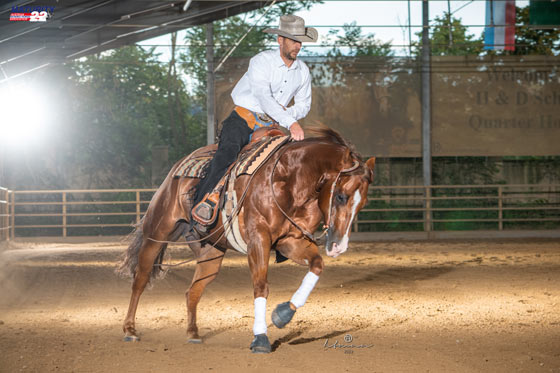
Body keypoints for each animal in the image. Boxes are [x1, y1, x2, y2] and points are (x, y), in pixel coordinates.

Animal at [117, 126, 376, 354]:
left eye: (363, 203)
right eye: (340, 196)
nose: (339, 246)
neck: (289, 180)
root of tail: (178, 167)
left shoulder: (291, 242)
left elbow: (317, 266)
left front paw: (283, 314)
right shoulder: (258, 239)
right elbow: (261, 286)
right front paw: (260, 338)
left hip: (211, 253)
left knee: (193, 291)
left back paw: (193, 333)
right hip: (156, 234)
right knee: (140, 279)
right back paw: (130, 330)